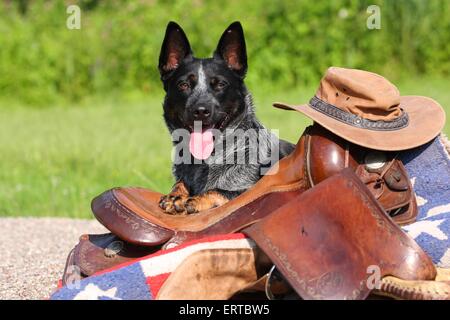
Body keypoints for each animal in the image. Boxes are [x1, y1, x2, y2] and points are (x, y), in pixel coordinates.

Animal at [156, 21, 294, 214]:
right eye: (183, 85)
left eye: (220, 84)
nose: (201, 110)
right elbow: (180, 183)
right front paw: (176, 194)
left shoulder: (250, 189)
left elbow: (219, 190)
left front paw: (196, 199)